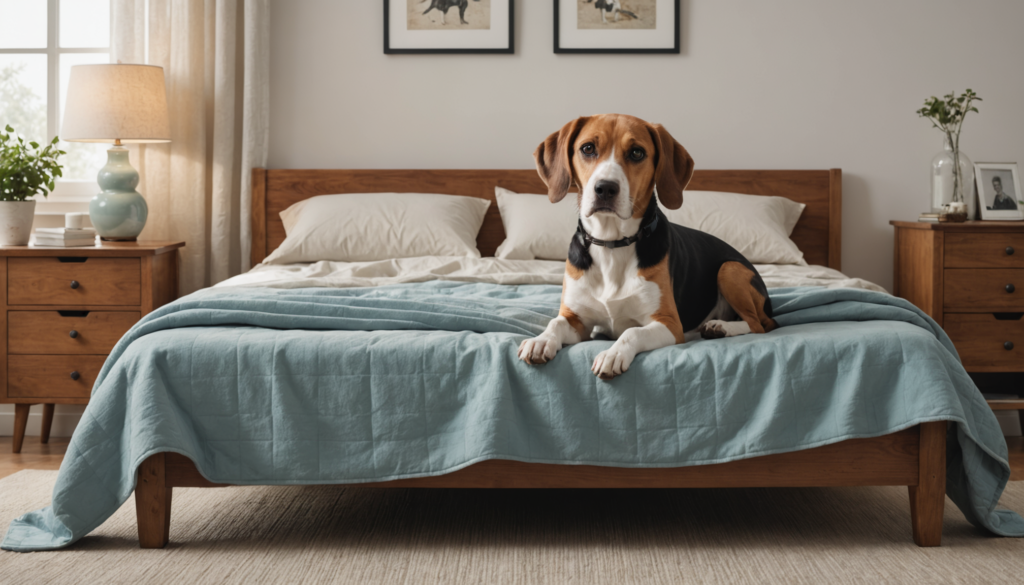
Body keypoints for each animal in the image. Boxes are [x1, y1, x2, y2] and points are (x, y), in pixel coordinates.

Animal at [516, 113, 770, 379]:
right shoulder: (578, 321)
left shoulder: (668, 324)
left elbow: (631, 332)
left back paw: (720, 326)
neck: (612, 245)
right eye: (587, 148)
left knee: (758, 324)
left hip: (729, 269)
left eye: (637, 153)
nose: (605, 188)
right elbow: (555, 322)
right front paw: (541, 340)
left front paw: (613, 354)